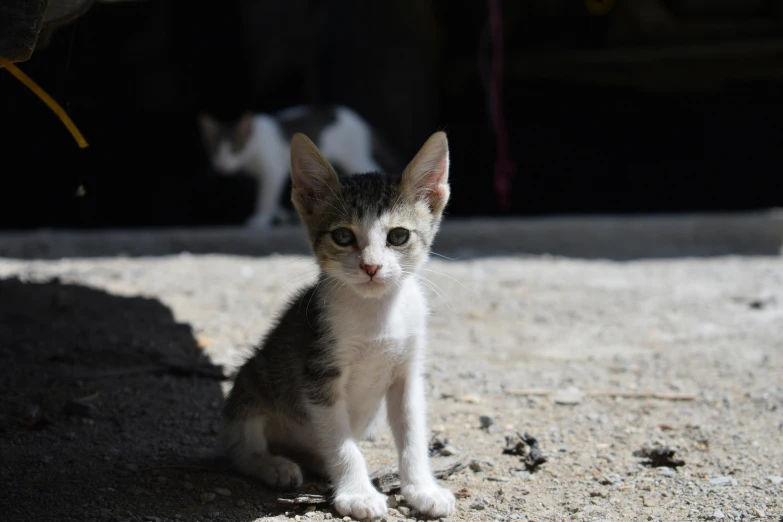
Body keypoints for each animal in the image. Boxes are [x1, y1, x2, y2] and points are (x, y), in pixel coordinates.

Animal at [198, 105, 398, 228]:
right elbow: (271, 196)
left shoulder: (272, 170)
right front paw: (279, 214)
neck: (254, 142)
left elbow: (266, 196)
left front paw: (260, 219)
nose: (222, 165)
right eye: (214, 150)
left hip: (355, 156)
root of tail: (361, 122)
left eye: (235, 148)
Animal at [220, 130, 456, 516]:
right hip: (252, 384)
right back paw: (273, 465)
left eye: (398, 236)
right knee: (240, 450)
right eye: (343, 236)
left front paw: (422, 488)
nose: (371, 266)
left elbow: (412, 434)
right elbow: (341, 443)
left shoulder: (407, 373)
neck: (376, 314)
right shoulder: (318, 373)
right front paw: (357, 494)